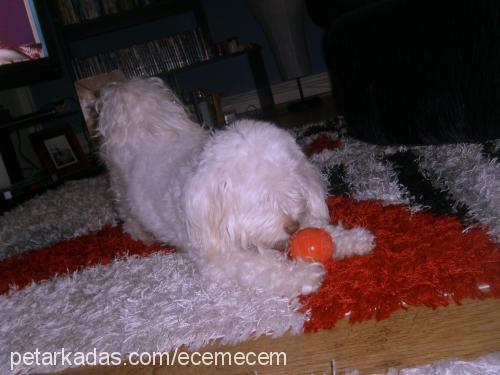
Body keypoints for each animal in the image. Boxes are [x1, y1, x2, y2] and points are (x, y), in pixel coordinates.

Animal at [95, 78, 374, 298]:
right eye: (262, 200)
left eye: (293, 190)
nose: (293, 226)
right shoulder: (221, 259)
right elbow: (264, 267)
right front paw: (303, 275)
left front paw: (351, 239)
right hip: (121, 193)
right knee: (127, 214)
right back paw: (140, 233)